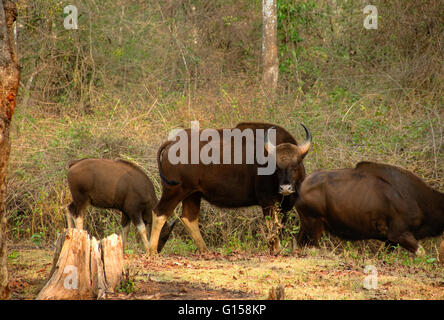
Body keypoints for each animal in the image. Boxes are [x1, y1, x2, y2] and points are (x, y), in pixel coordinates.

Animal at [294, 161, 444, 254]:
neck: (417, 198)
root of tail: (302, 183)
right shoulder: (398, 234)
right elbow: (422, 253)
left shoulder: (390, 241)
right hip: (314, 223)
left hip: (306, 224)